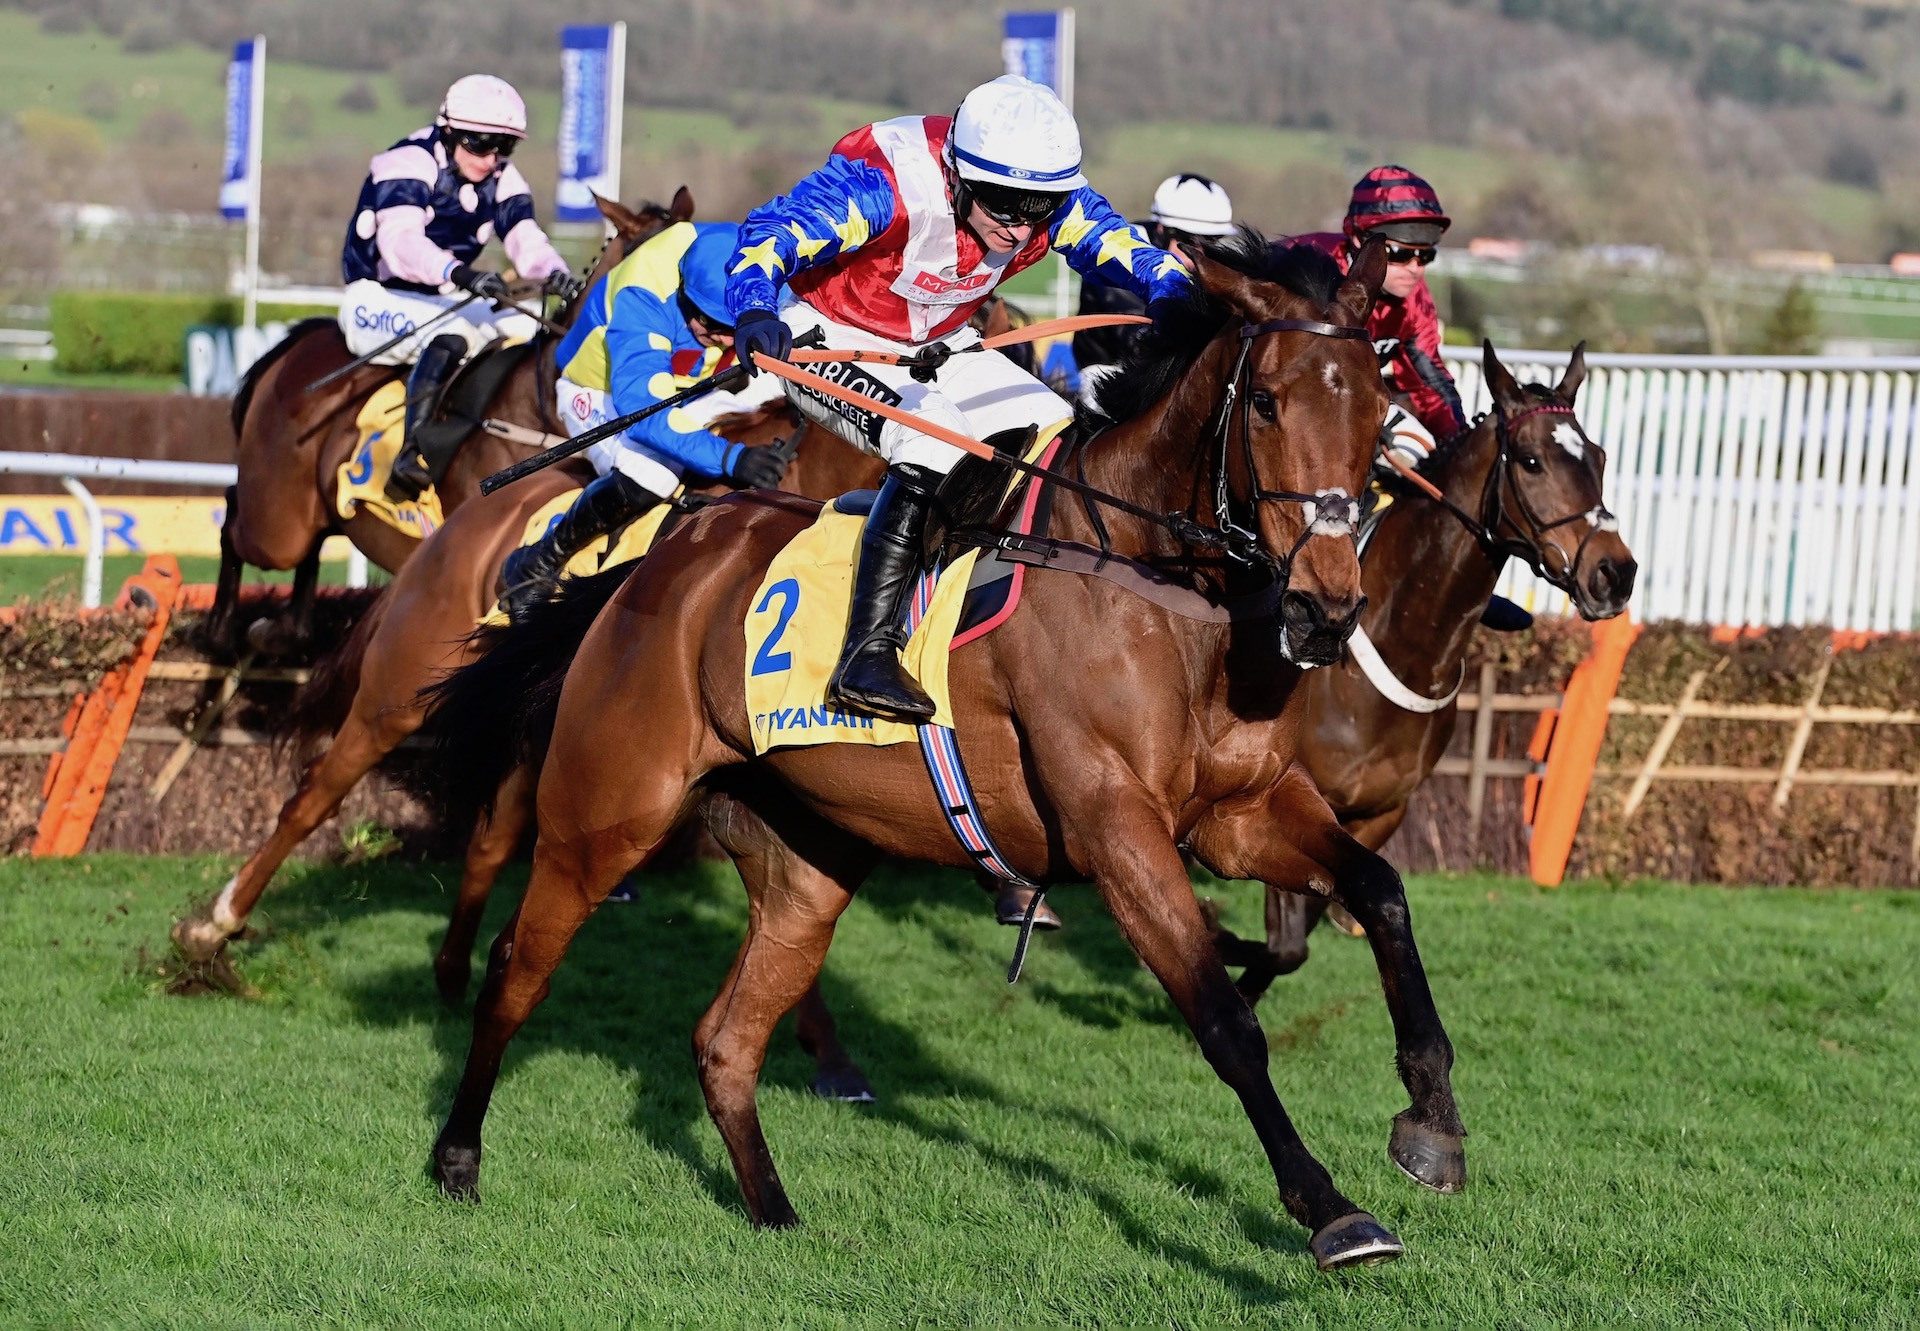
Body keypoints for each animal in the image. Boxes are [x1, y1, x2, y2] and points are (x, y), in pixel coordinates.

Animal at [172, 399, 879, 1014]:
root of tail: (464, 519)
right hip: (398, 691)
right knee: (315, 795)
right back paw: (215, 926)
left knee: (489, 841)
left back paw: (454, 970)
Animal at [206, 189, 698, 656]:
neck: (540, 406)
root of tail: (297, 343)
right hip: (275, 525)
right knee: (235, 516)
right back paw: (222, 631)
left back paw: (285, 630)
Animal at [420, 236, 1466, 1267]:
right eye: (1267, 402)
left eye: (1378, 410)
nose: (1325, 609)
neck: (1150, 577)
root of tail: (662, 560)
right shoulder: (1116, 825)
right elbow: (1225, 1018)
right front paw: (1330, 1208)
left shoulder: (1239, 812)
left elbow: (1380, 890)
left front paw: (1432, 1120)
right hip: (606, 814)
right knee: (518, 967)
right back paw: (456, 1156)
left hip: (806, 866)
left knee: (725, 1038)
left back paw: (773, 1209)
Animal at [1221, 341, 1643, 998]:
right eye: (1530, 461)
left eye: (1598, 457)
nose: (1614, 572)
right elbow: (1284, 943)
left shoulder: (1379, 812)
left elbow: (1305, 933)